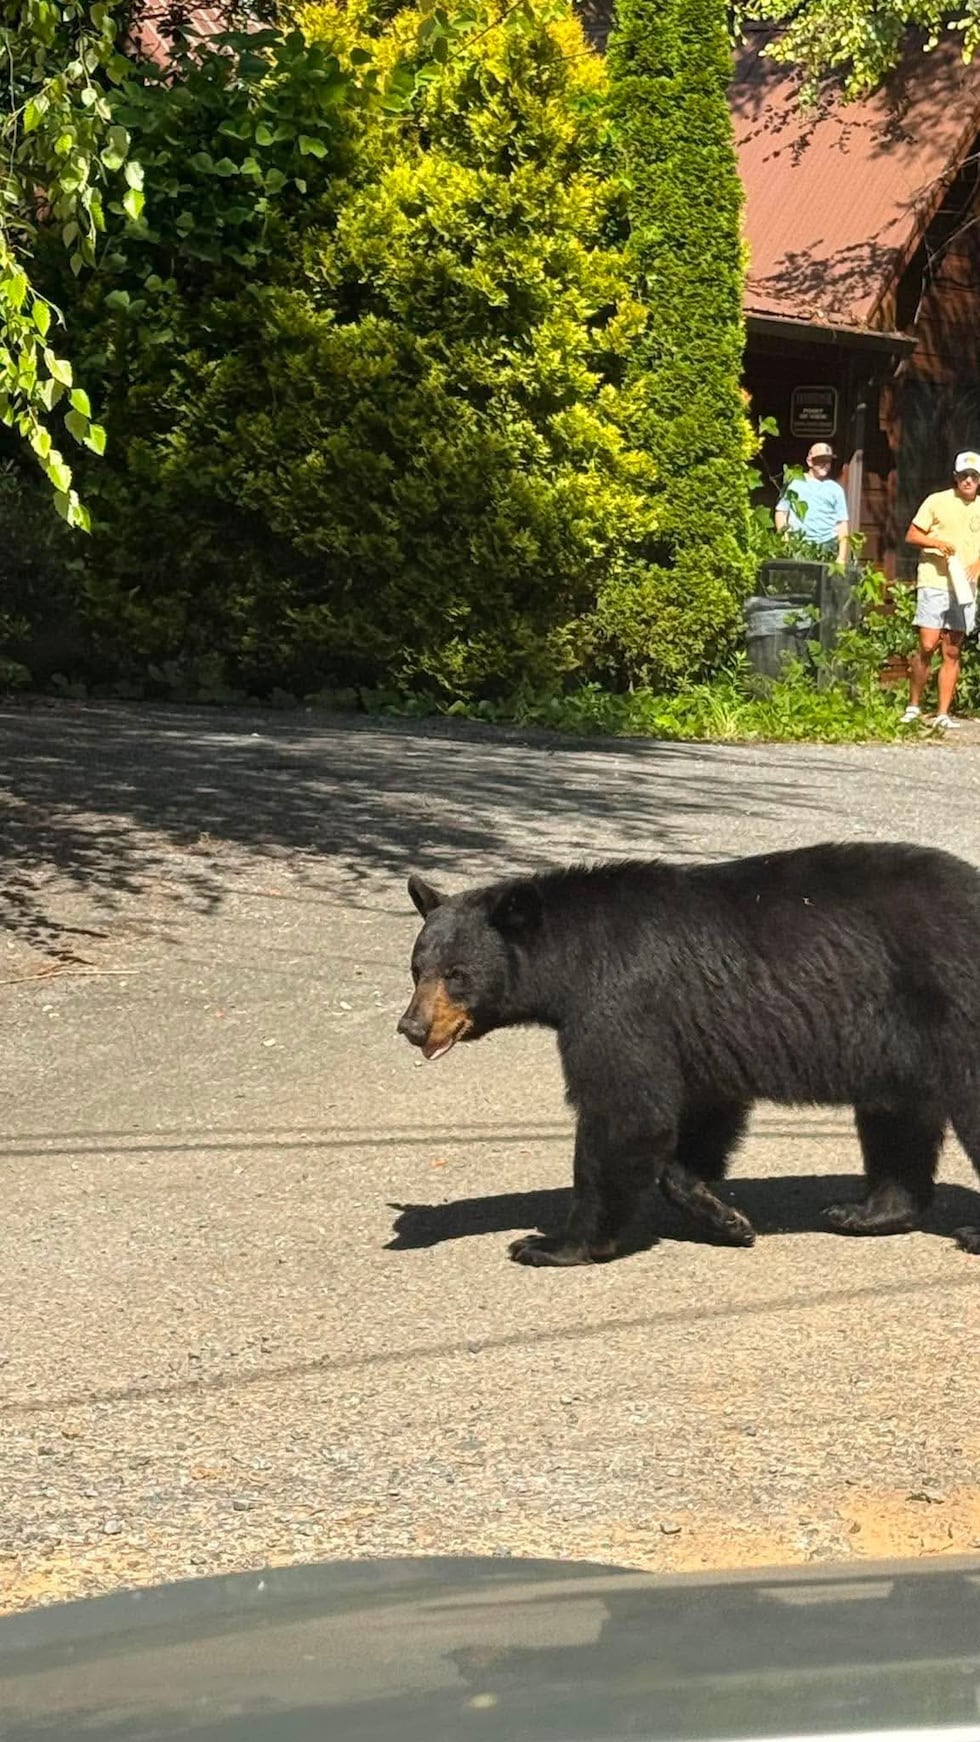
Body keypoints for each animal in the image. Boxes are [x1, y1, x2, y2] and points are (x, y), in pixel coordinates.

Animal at [396, 840, 980, 1266]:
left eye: (457, 974)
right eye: (417, 968)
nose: (412, 1027)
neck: (569, 958)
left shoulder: (619, 1001)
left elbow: (624, 1112)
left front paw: (552, 1243)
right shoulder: (694, 1035)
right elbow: (700, 1114)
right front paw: (727, 1219)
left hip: (954, 1009)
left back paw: (966, 1232)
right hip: (902, 1044)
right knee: (896, 1121)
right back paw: (864, 1211)